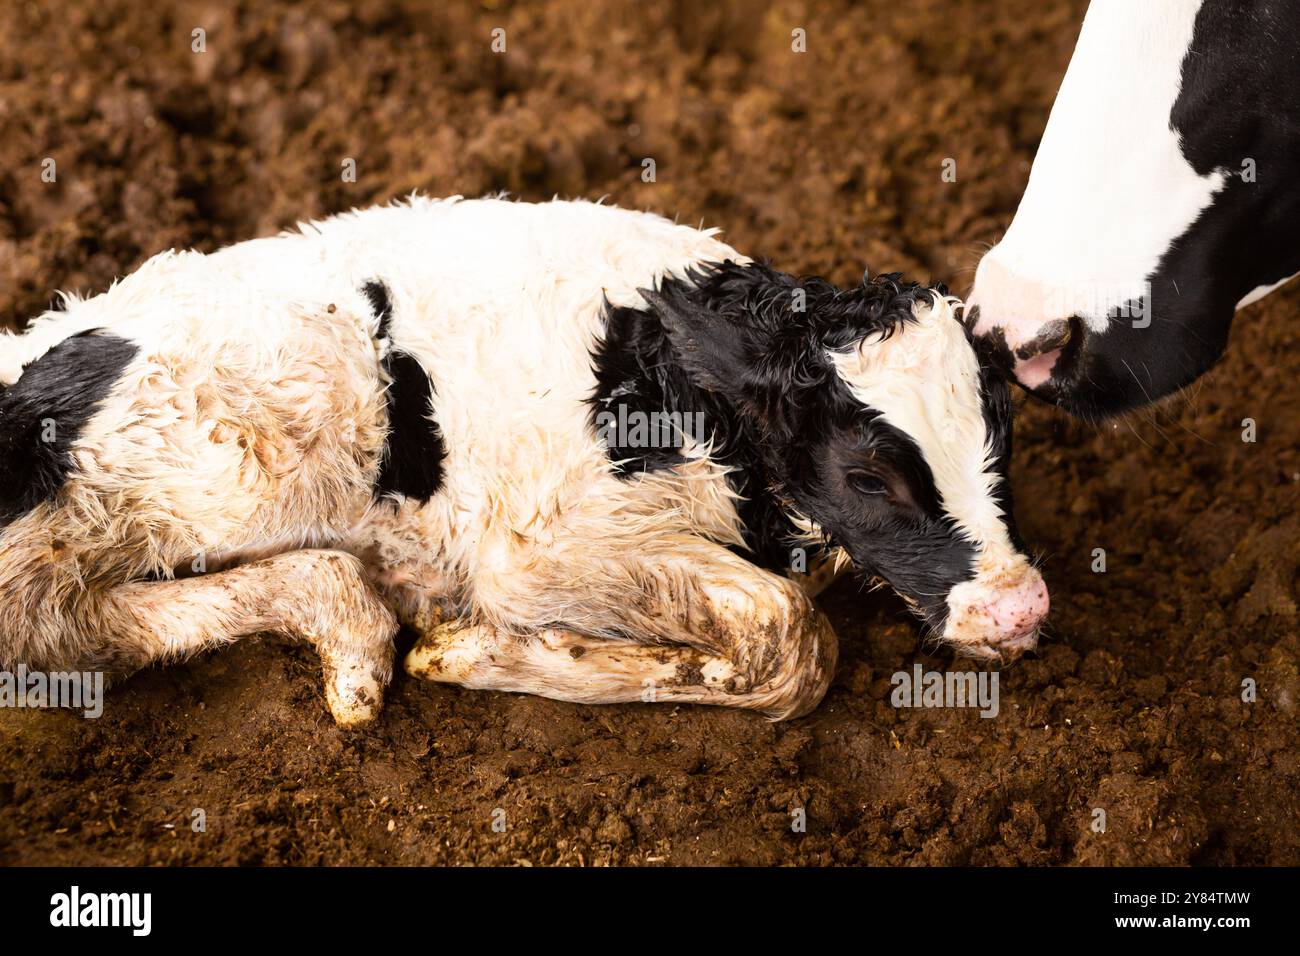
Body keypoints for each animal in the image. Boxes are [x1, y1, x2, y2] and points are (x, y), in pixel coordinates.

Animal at [0, 196, 1047, 727]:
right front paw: (482, 651)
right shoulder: (530, 550)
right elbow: (795, 639)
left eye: (999, 437)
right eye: (868, 475)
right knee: (53, 631)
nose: (1020, 606)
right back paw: (356, 637)